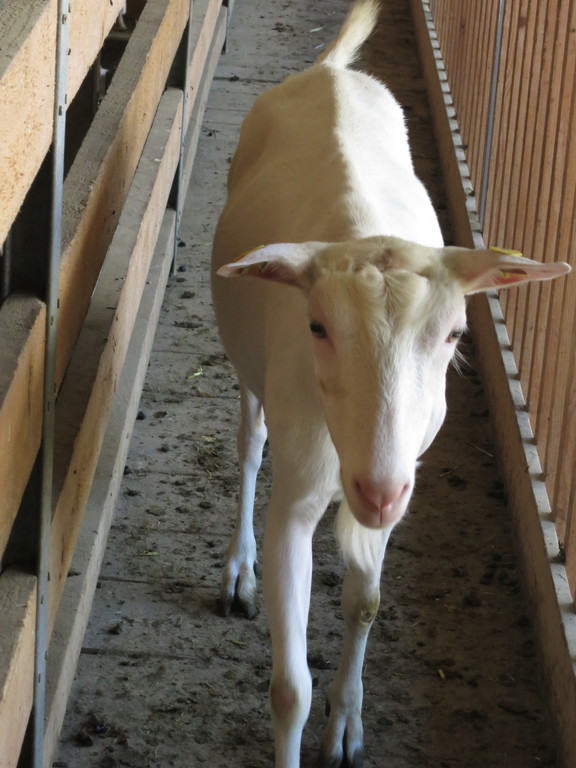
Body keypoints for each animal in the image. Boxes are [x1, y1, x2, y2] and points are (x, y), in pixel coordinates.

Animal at [210, 1, 570, 765]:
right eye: (317, 326)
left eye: (456, 334)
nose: (375, 491)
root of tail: (328, 70)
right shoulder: (300, 489)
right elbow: (288, 689)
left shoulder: (402, 476)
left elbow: (367, 602)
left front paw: (347, 726)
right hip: (249, 364)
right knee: (250, 443)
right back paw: (238, 571)